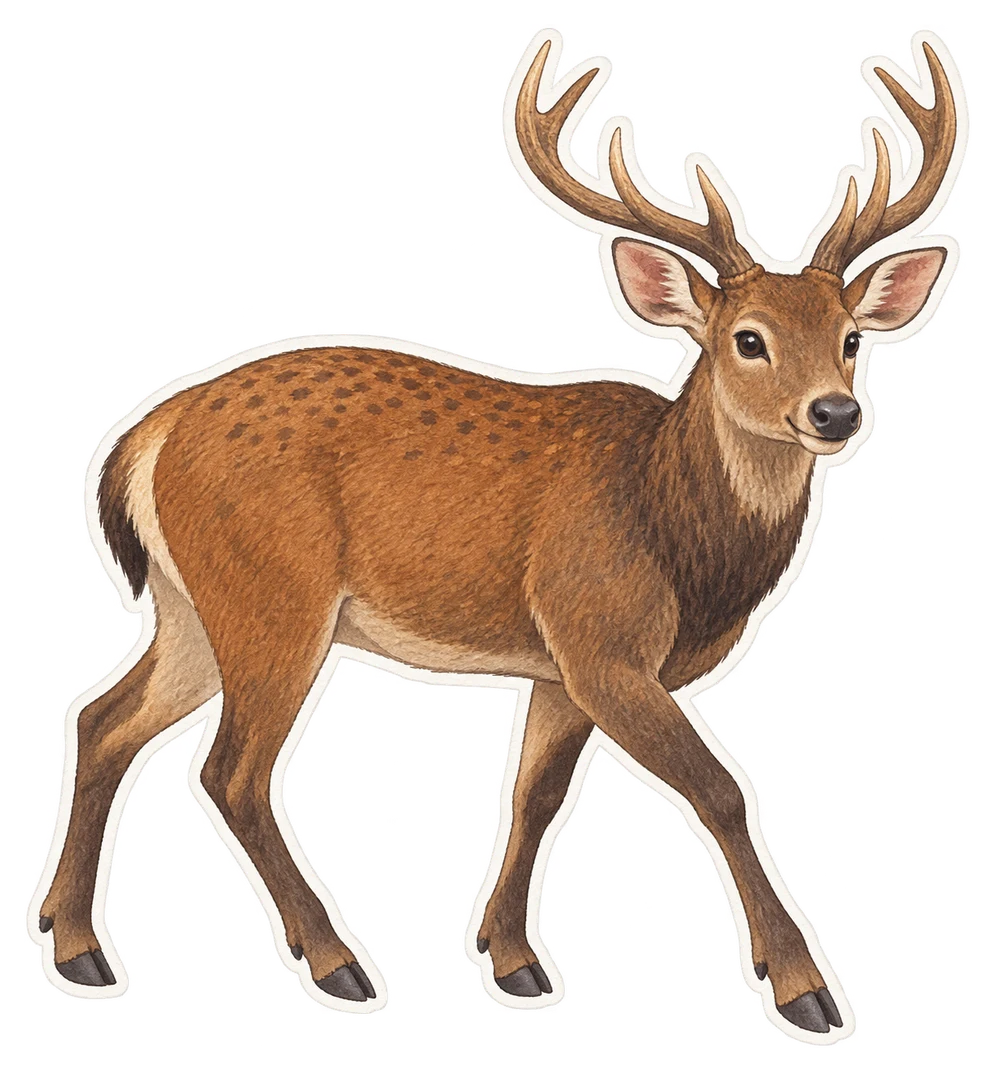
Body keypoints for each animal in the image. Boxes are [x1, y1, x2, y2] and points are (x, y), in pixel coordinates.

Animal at [30, 25, 963, 1038]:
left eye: (850, 338)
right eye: (747, 338)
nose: (835, 412)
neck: (677, 540)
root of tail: (145, 437)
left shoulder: (556, 667)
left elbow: (533, 796)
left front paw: (512, 961)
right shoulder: (599, 634)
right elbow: (720, 789)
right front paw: (805, 990)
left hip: (192, 603)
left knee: (103, 719)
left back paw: (77, 947)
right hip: (272, 596)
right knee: (230, 770)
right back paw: (338, 964)